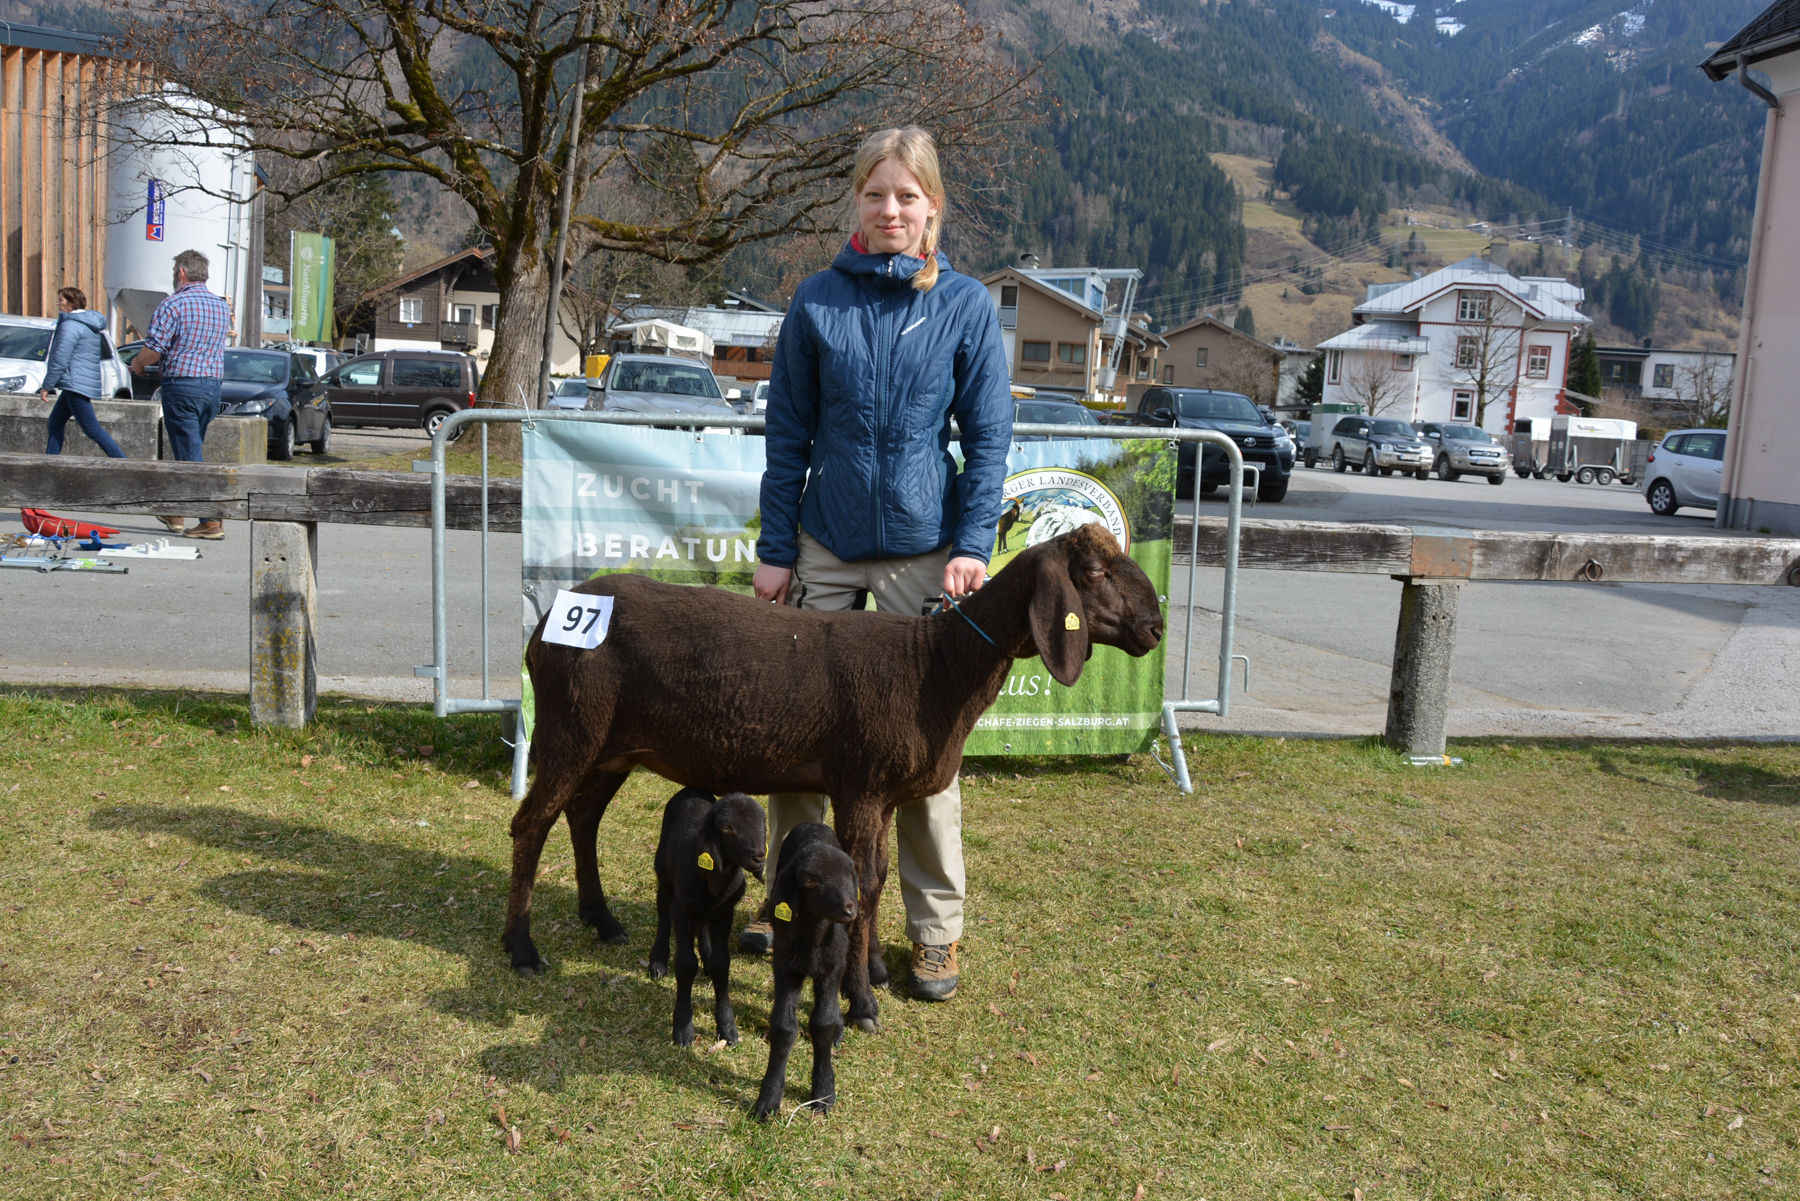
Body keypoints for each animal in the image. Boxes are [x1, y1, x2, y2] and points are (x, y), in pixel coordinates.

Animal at [655, 785, 766, 1044]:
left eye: (763, 823)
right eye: (727, 828)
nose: (759, 856)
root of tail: (690, 789)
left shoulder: (726, 911)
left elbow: (721, 964)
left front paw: (727, 1026)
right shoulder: (682, 908)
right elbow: (686, 964)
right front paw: (683, 1029)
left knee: (703, 924)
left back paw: (705, 954)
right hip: (663, 869)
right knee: (663, 910)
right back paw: (657, 960)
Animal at [745, 821, 856, 1123]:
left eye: (850, 875)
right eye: (809, 881)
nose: (849, 910)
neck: (813, 939)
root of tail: (813, 824)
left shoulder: (831, 969)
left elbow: (822, 1023)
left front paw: (823, 1092)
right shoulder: (785, 968)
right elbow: (784, 1027)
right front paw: (769, 1099)